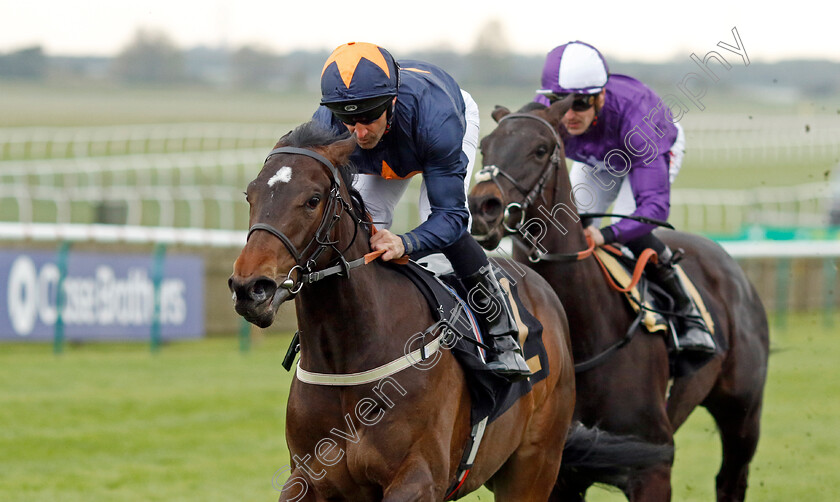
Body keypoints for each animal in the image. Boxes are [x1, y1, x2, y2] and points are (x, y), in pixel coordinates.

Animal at [470, 101, 772, 502]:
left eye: (540, 149)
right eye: (485, 147)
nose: (483, 206)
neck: (585, 331)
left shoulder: (651, 469)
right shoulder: (559, 473)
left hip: (743, 413)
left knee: (730, 478)